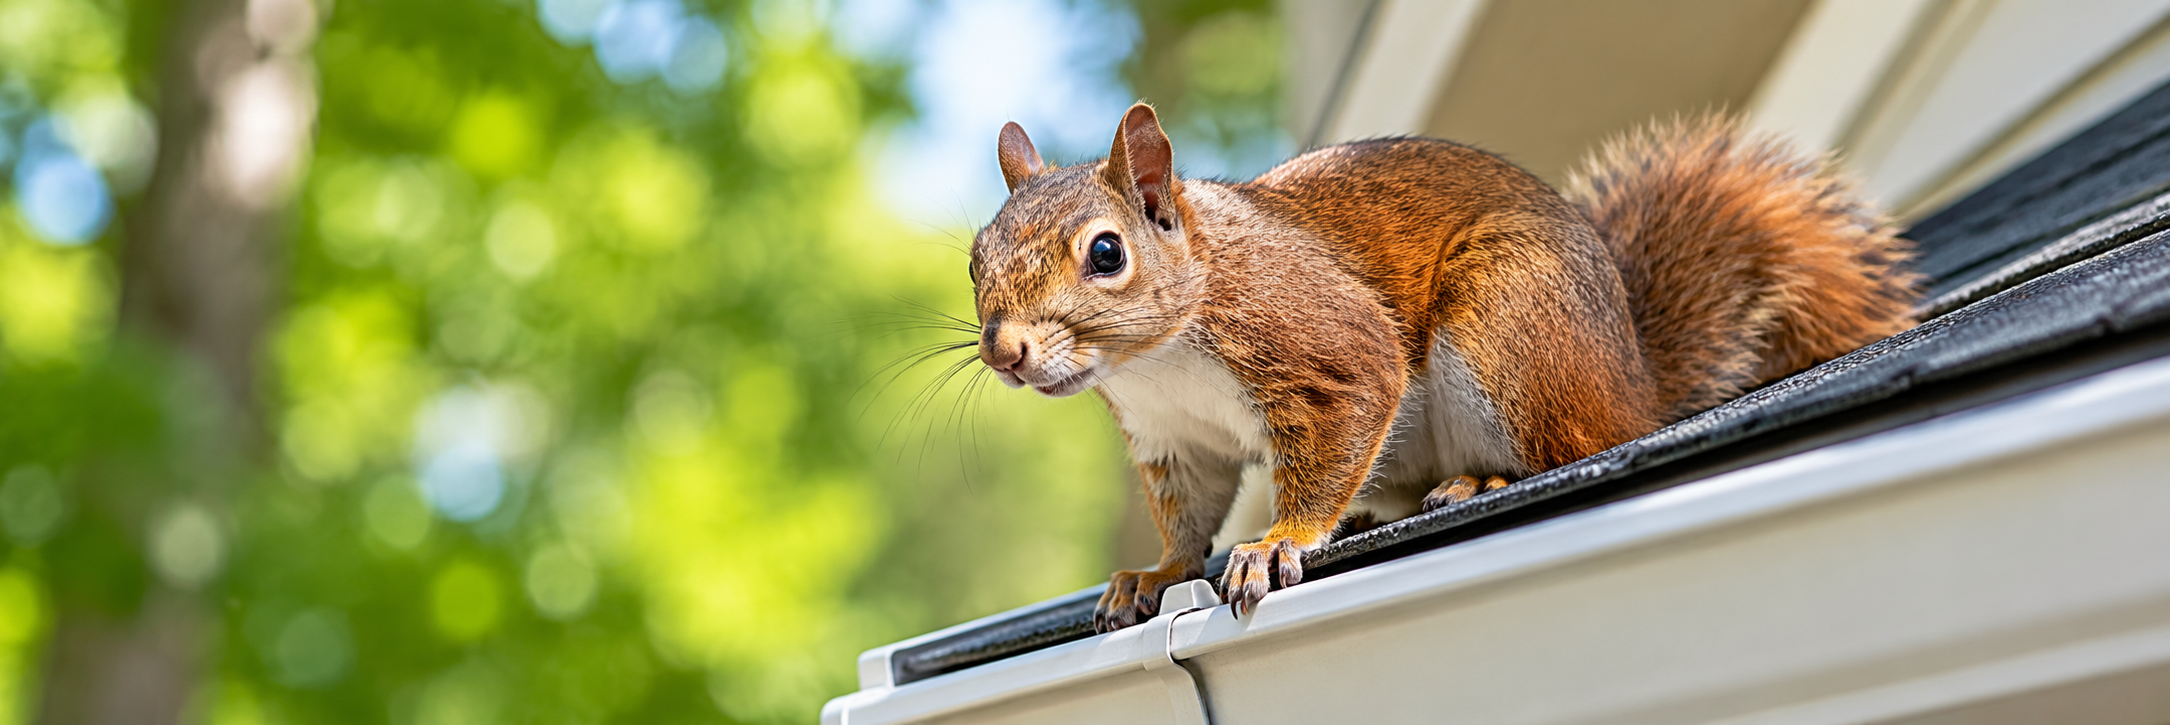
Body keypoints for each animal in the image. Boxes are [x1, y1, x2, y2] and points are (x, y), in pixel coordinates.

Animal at [968, 103, 1919, 631]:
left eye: (1106, 252)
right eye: (976, 257)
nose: (1005, 350)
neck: (1158, 357)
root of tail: (1635, 385)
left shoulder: (1330, 350)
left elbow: (1341, 418)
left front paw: (1278, 541)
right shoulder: (1175, 438)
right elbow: (1190, 515)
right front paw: (1158, 574)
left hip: (1508, 322)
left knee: (1570, 446)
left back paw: (1482, 482)